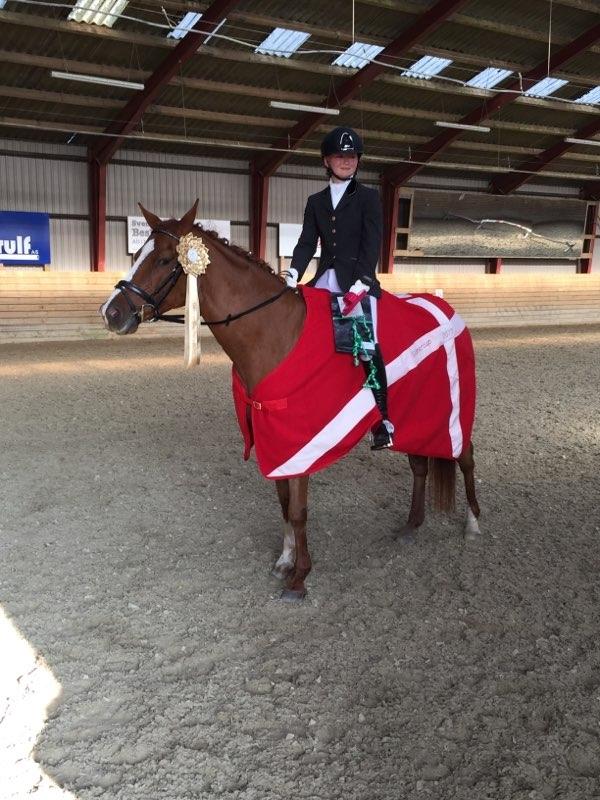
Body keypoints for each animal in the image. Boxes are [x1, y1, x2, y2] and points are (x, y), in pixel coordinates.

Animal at [100, 201, 481, 602]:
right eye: (137, 255)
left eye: (162, 259)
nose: (110, 313)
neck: (275, 332)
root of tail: (444, 308)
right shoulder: (274, 438)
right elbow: (283, 503)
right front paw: (285, 561)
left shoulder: (299, 442)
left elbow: (298, 510)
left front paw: (299, 577)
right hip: (414, 416)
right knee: (420, 465)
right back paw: (411, 525)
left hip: (450, 414)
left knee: (465, 455)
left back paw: (473, 523)